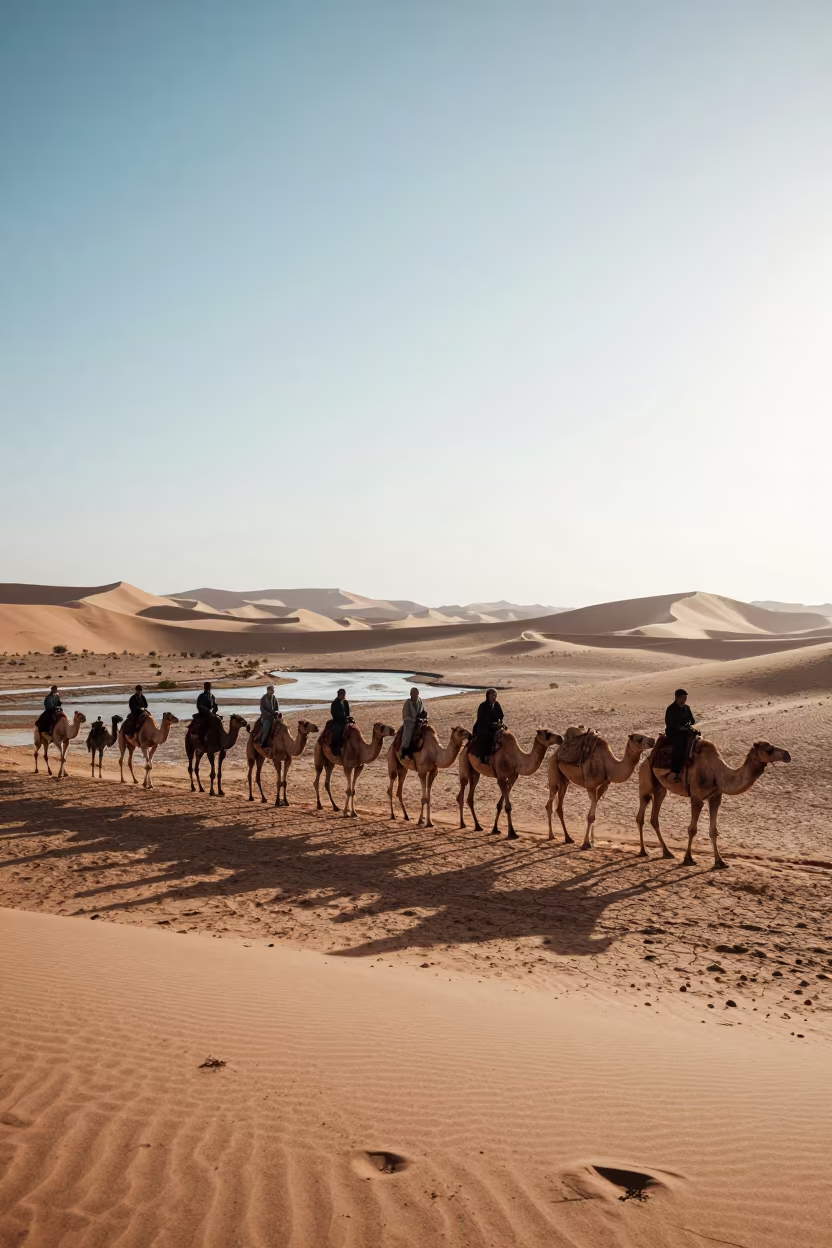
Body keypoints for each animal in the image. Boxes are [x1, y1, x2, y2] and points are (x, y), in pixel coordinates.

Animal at [636, 737, 791, 869]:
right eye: (769, 749)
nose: (787, 755)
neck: (716, 772)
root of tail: (645, 760)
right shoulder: (696, 797)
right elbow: (692, 829)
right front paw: (688, 858)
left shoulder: (716, 797)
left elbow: (713, 831)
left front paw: (720, 862)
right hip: (646, 782)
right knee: (641, 815)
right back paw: (643, 851)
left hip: (660, 788)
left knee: (654, 818)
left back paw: (667, 852)